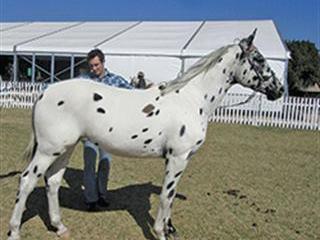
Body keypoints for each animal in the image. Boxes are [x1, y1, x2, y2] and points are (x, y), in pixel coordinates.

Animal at [7, 30, 282, 240]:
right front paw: (161, 232)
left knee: (52, 182)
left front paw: (170, 229)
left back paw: (60, 227)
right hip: (48, 149)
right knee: (27, 181)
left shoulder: (182, 159)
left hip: (65, 148)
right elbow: (166, 196)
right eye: (258, 59)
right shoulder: (177, 157)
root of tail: (45, 92)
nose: (279, 90)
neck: (191, 99)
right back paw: (14, 232)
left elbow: (171, 196)